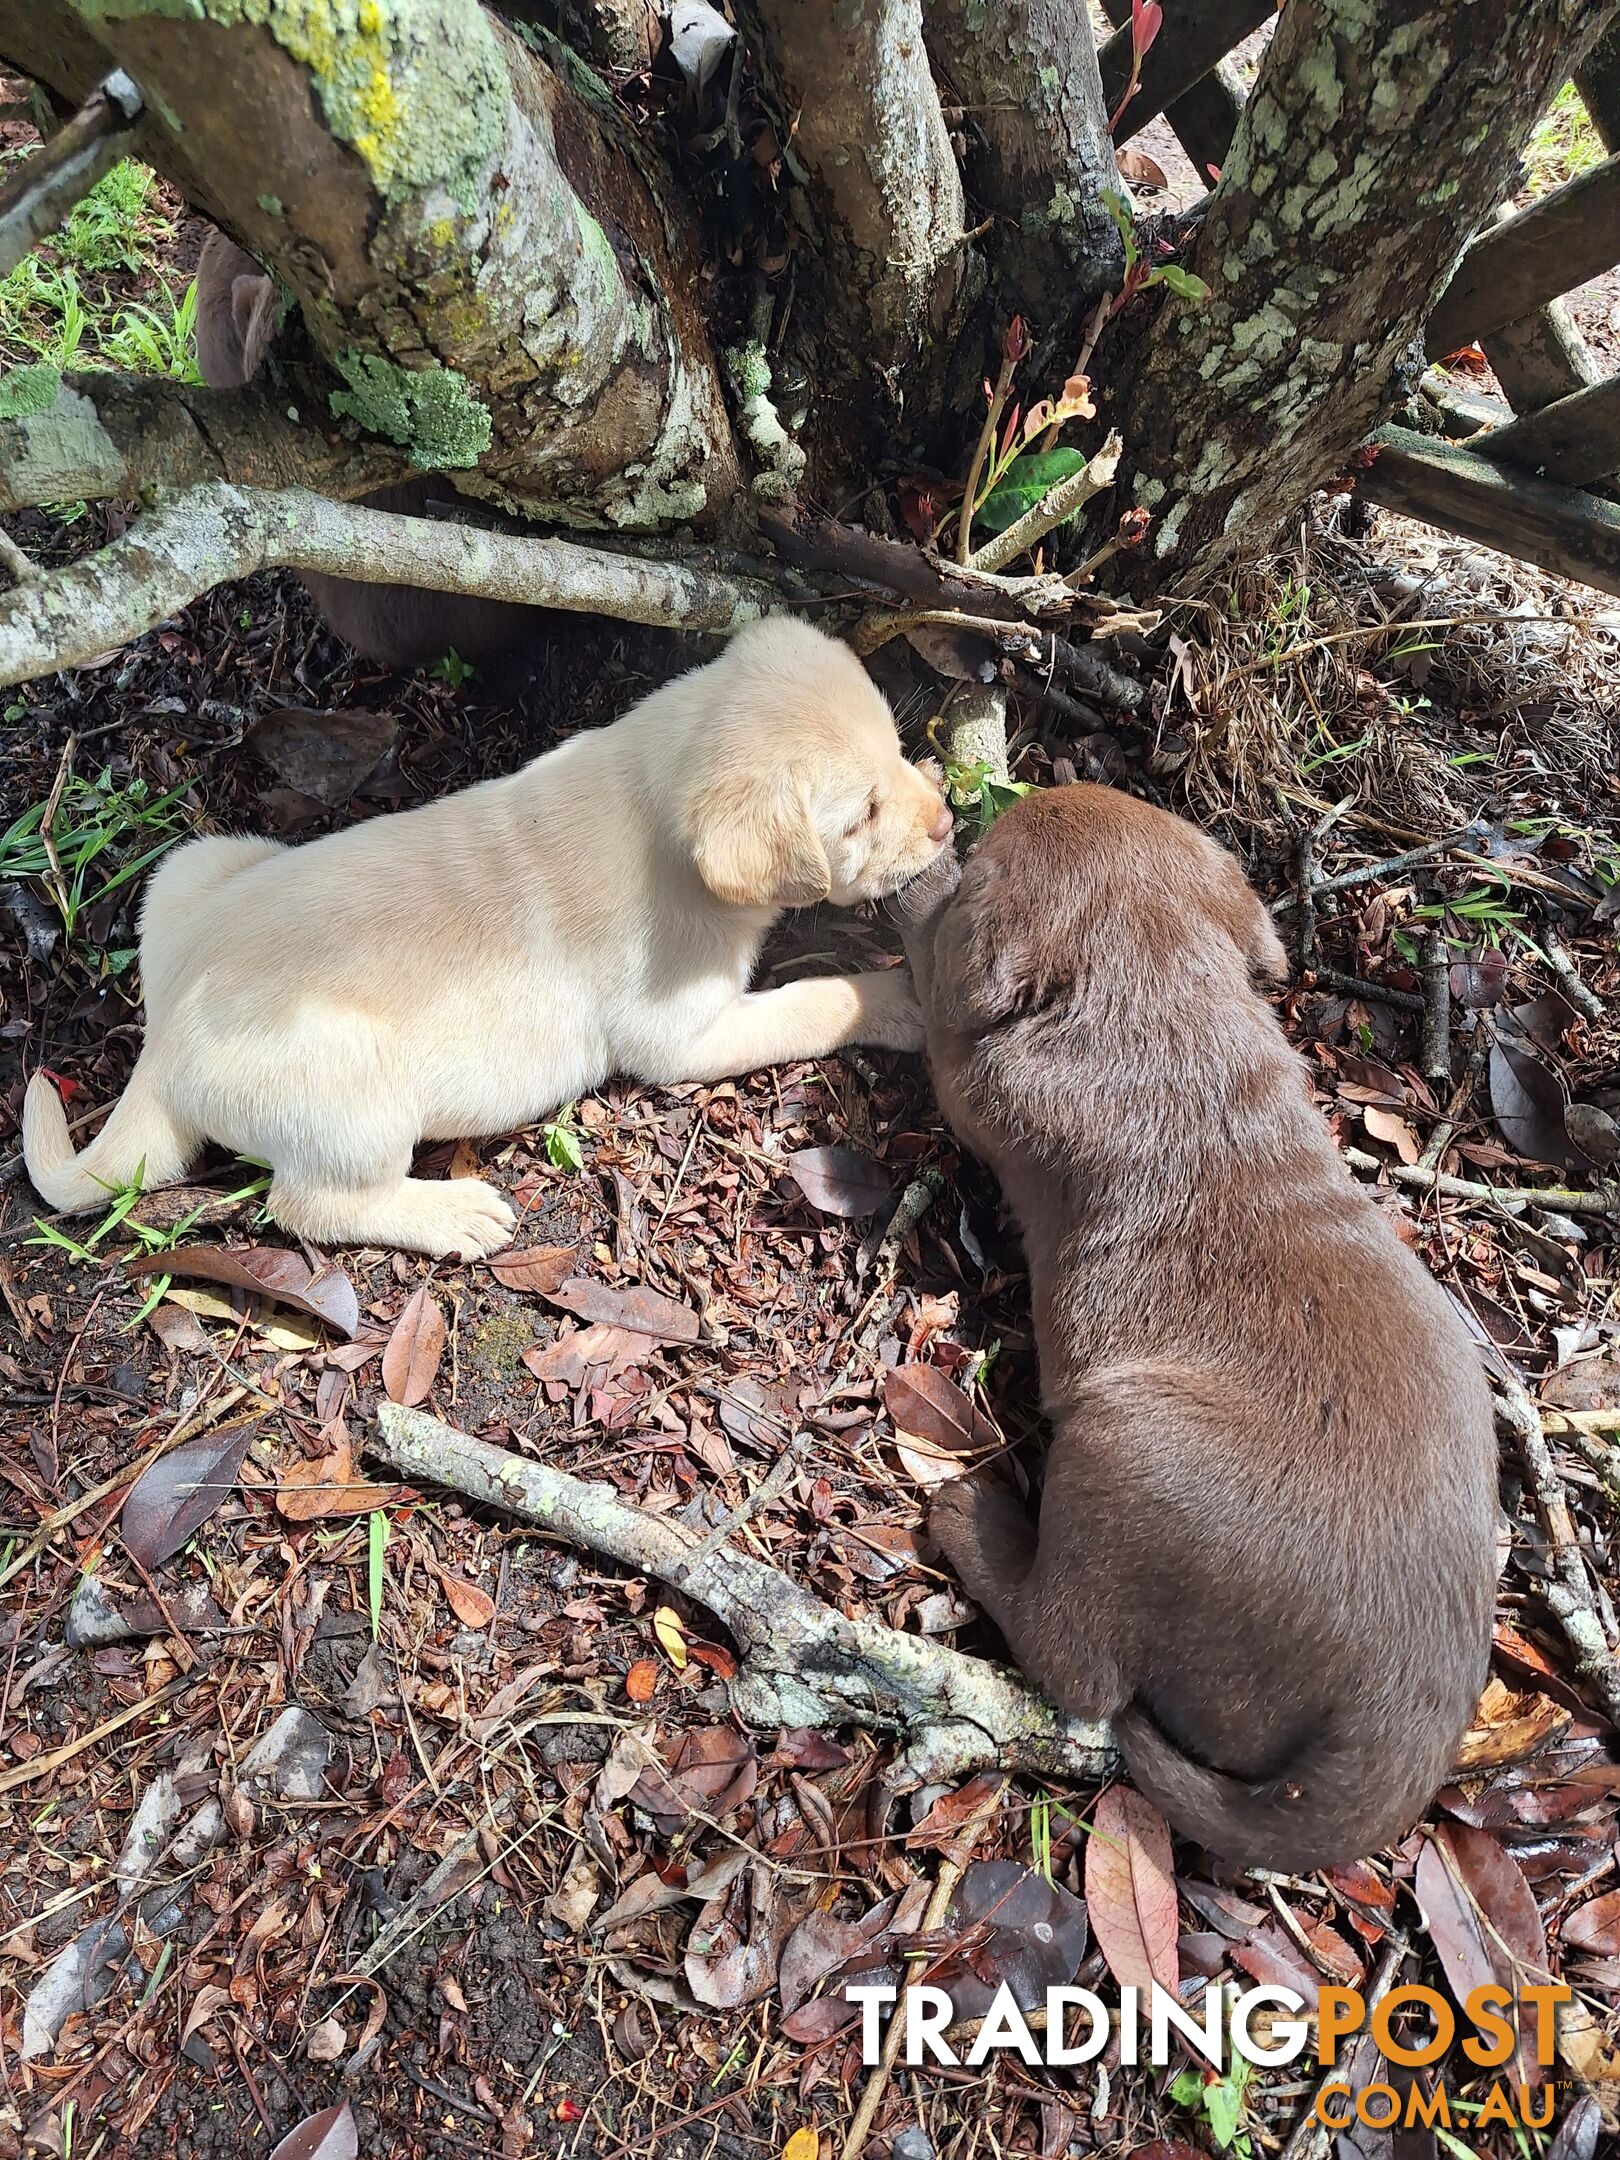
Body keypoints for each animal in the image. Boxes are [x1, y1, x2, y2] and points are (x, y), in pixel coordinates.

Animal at [25, 617, 950, 1261]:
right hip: (355, 1082)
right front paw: (896, 997)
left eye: (899, 749)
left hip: (194, 866)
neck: (654, 798)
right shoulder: (680, 1038)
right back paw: (453, 1214)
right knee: (308, 1207)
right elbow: (808, 1003)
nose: (947, 824)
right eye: (860, 816)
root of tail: (163, 1043)